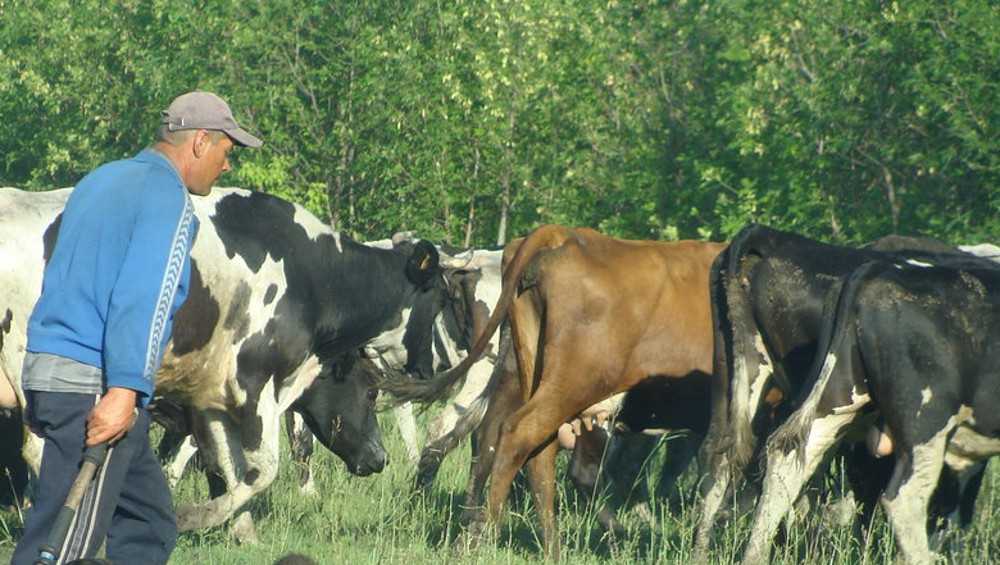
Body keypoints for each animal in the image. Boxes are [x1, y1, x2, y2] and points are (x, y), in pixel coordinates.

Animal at [0, 187, 458, 532]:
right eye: (368, 392)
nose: (380, 459)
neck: (310, 274)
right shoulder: (253, 383)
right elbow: (263, 468)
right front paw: (193, 517)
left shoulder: (211, 394)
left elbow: (228, 466)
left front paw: (242, 531)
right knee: (41, 452)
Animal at [384, 224, 728, 556]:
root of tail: (567, 236)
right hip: (573, 385)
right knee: (516, 437)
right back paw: (487, 534)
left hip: (532, 379)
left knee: (514, 446)